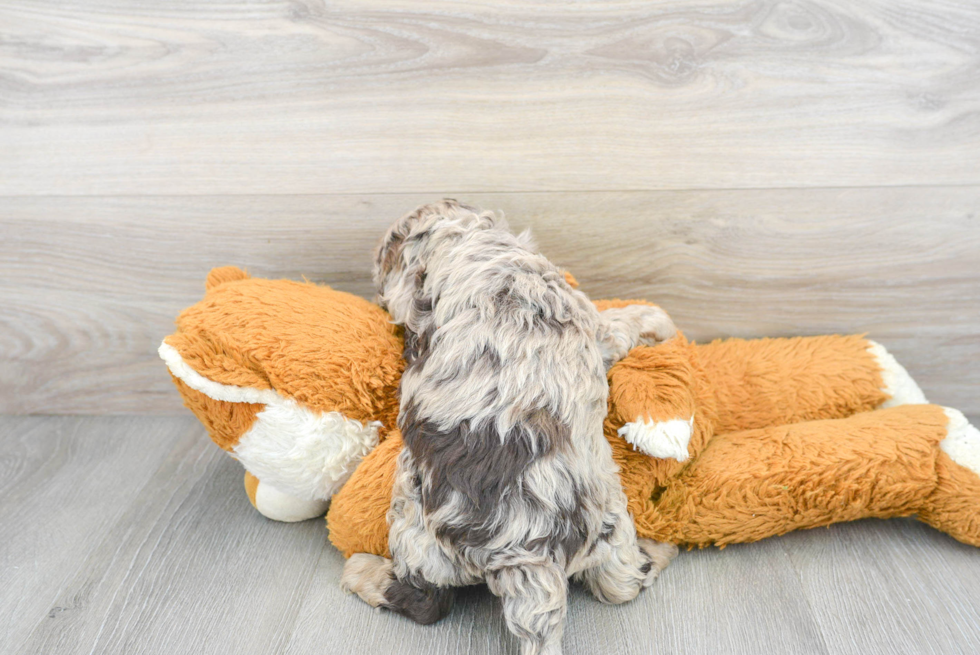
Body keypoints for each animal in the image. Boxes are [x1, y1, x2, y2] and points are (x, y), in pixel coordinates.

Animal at [342, 201, 672, 655]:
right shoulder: (590, 323)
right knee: (621, 582)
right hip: (609, 526)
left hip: (417, 527)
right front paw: (657, 319)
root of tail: (526, 555)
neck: (470, 245)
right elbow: (616, 324)